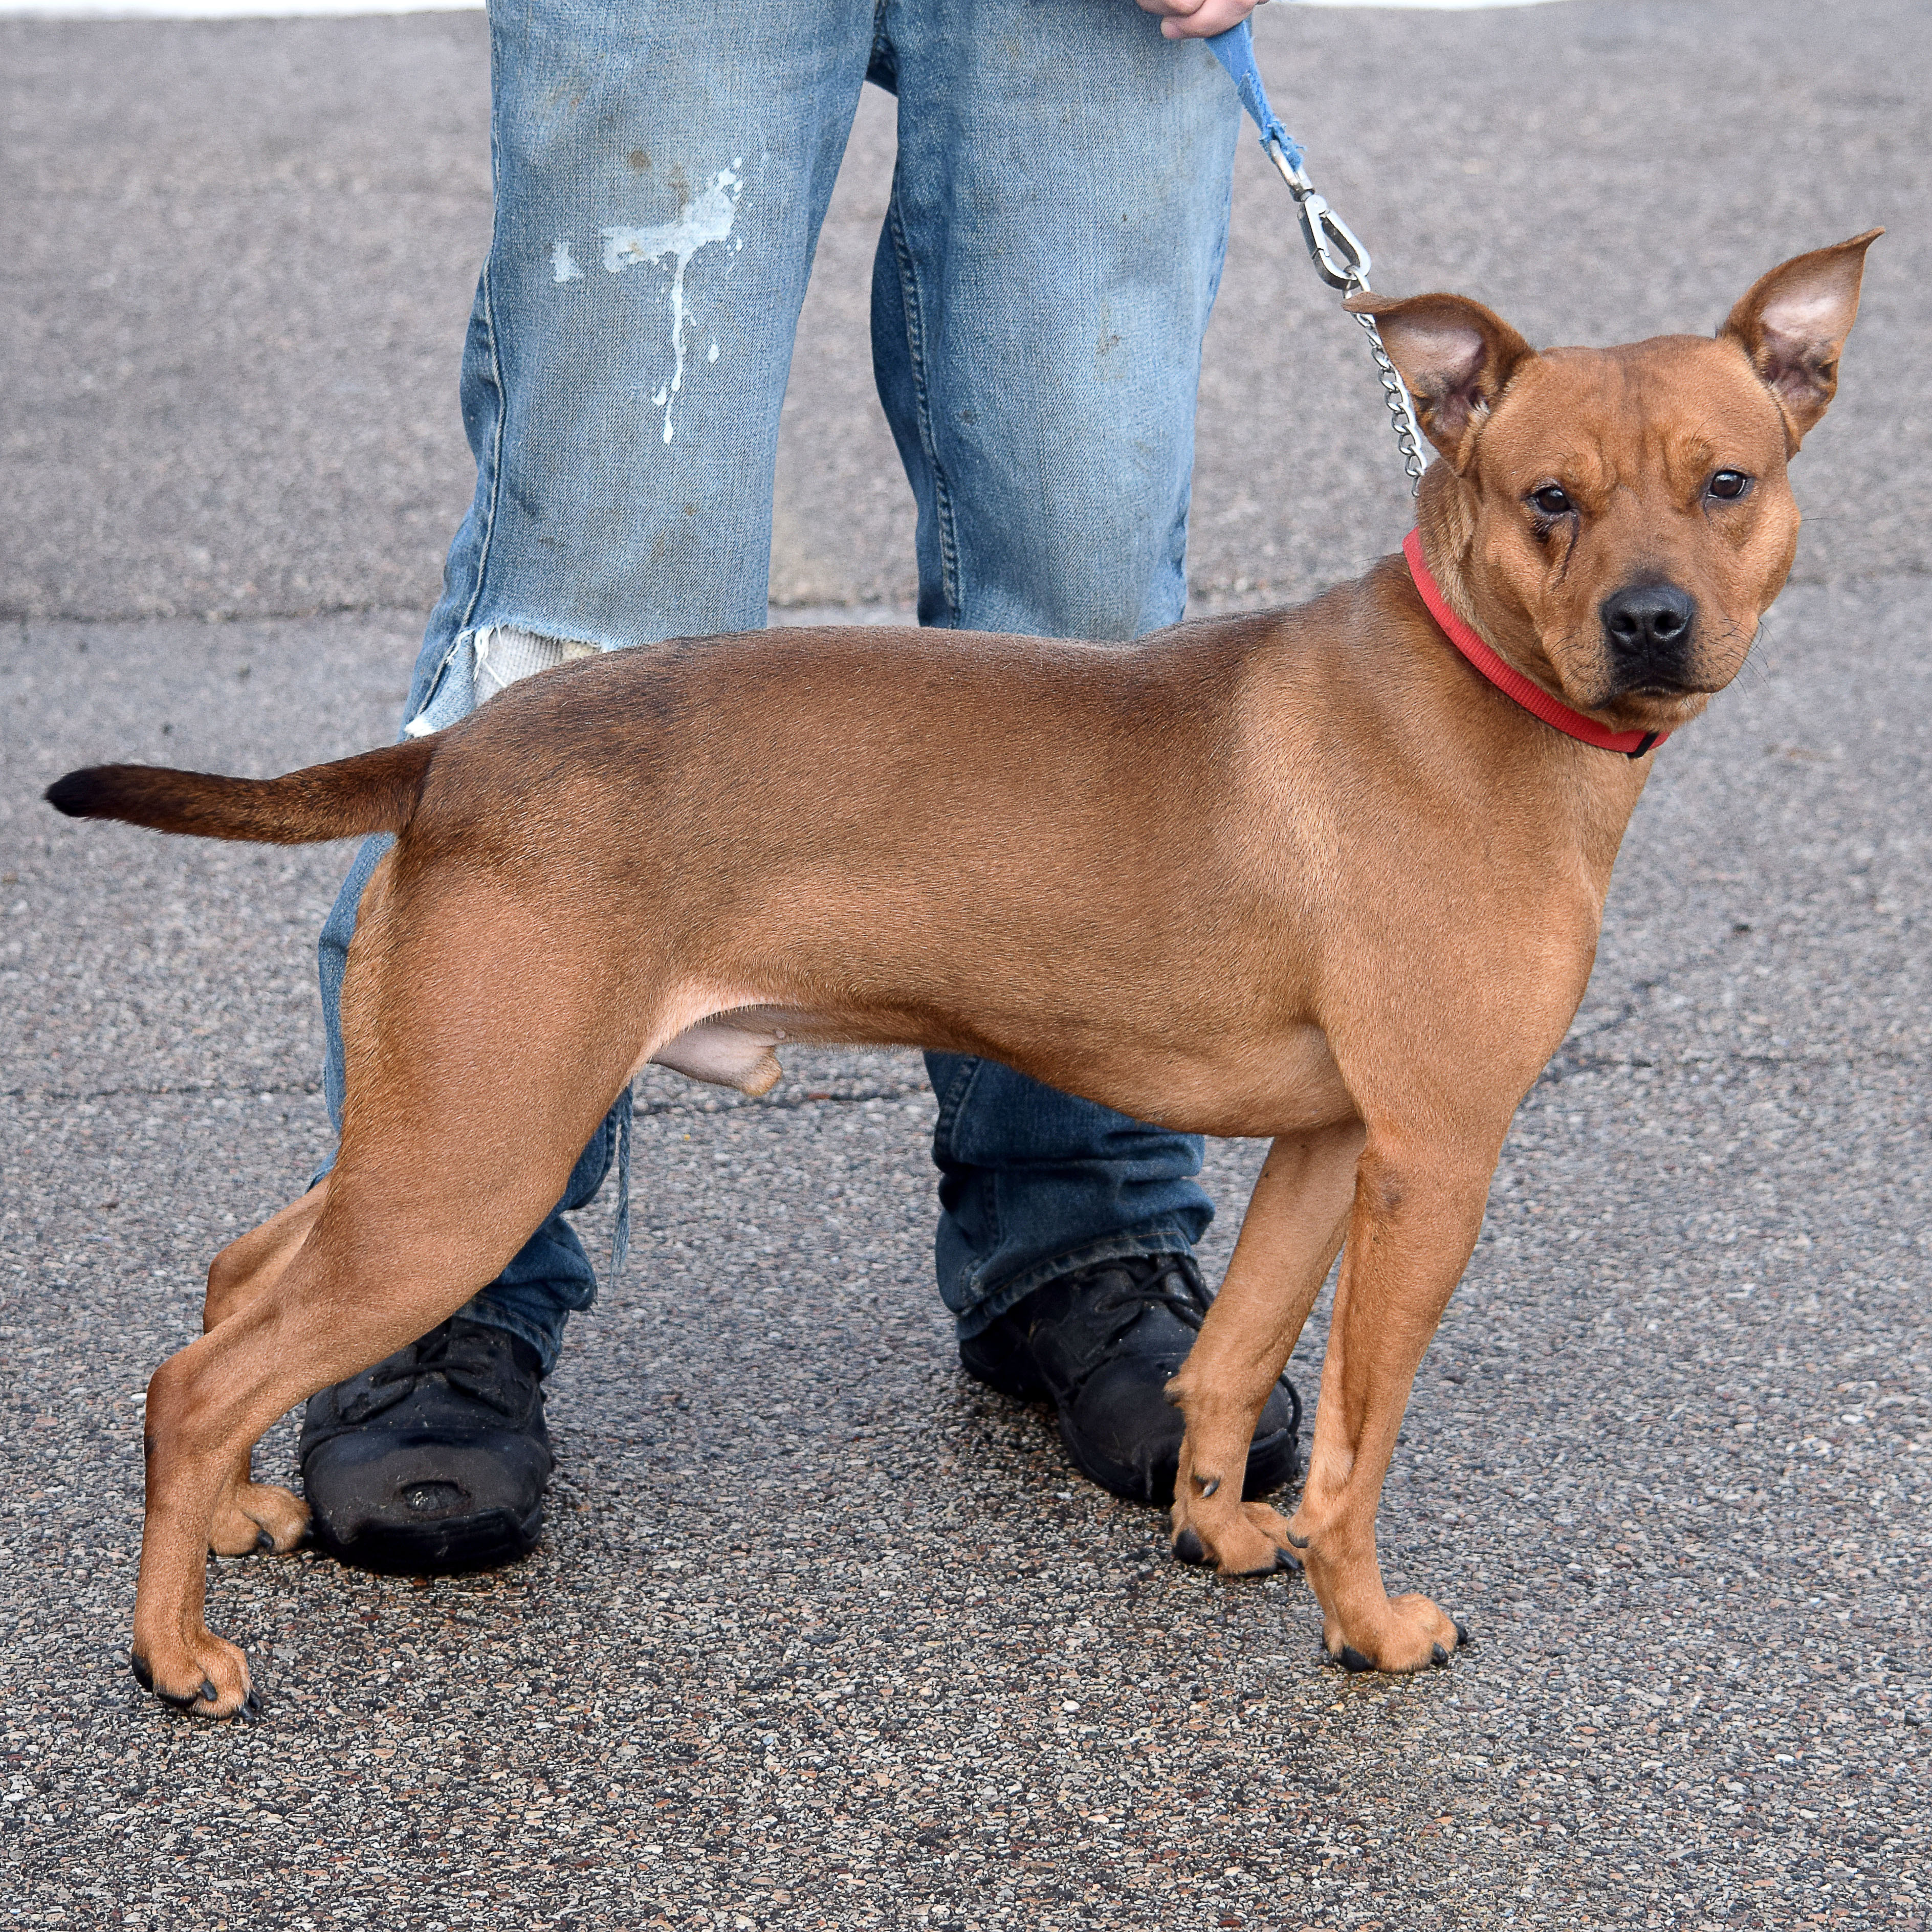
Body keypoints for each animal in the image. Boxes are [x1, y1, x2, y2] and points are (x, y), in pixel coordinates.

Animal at [49, 230, 1870, 1723]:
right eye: (1549, 499)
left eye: (1724, 481)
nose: (1651, 622)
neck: (1476, 688)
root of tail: (457, 754)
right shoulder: (1438, 1163)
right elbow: (1360, 1440)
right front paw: (1366, 1626)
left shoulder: (1333, 1143)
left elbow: (1229, 1364)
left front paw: (1217, 1528)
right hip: (480, 1162)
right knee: (202, 1375)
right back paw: (173, 1653)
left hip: (433, 1131)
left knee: (234, 1275)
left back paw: (233, 1515)